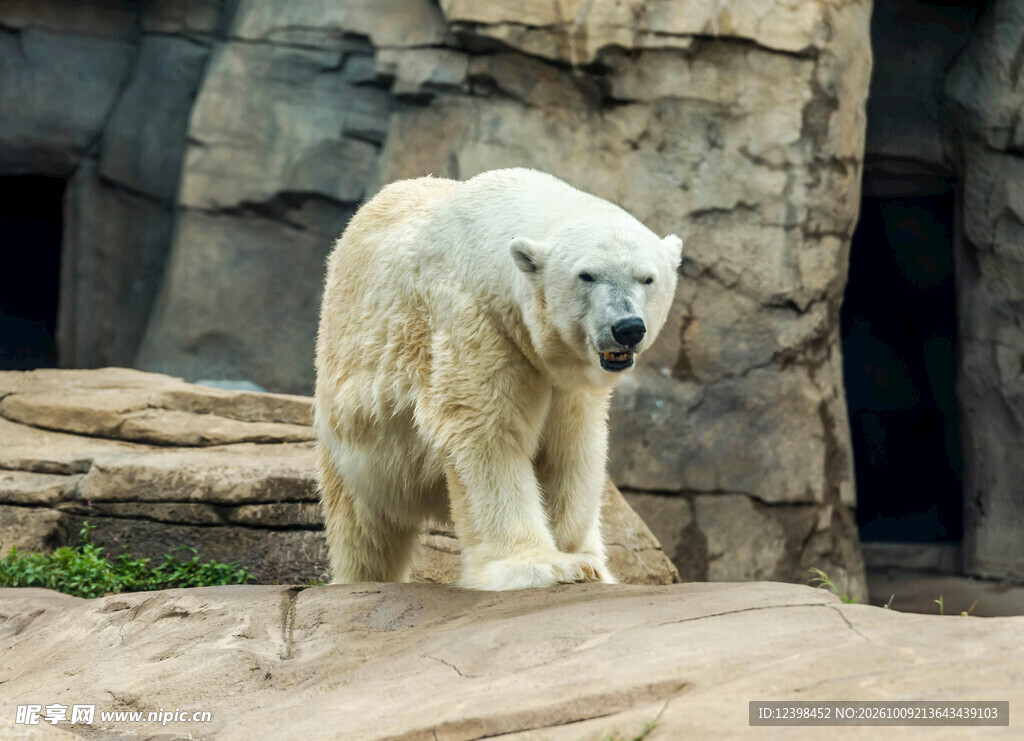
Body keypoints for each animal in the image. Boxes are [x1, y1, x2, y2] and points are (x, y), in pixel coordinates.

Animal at [314, 168, 682, 591]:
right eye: (587, 275)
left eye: (647, 278)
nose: (627, 328)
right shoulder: (477, 322)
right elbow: (486, 433)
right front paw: (541, 567)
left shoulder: (566, 380)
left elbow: (570, 447)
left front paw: (584, 561)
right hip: (354, 421)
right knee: (363, 522)